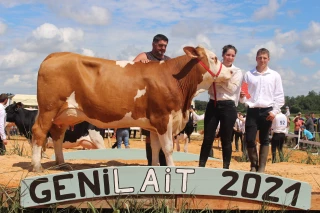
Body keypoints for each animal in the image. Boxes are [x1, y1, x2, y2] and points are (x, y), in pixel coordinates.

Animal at [31, 46, 232, 171]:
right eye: (214, 58)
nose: (231, 71)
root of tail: (55, 55)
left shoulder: (155, 123)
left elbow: (156, 147)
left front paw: (157, 168)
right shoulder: (163, 118)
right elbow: (167, 148)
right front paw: (172, 168)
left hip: (63, 114)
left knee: (57, 135)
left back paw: (61, 164)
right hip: (48, 108)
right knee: (39, 132)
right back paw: (37, 166)